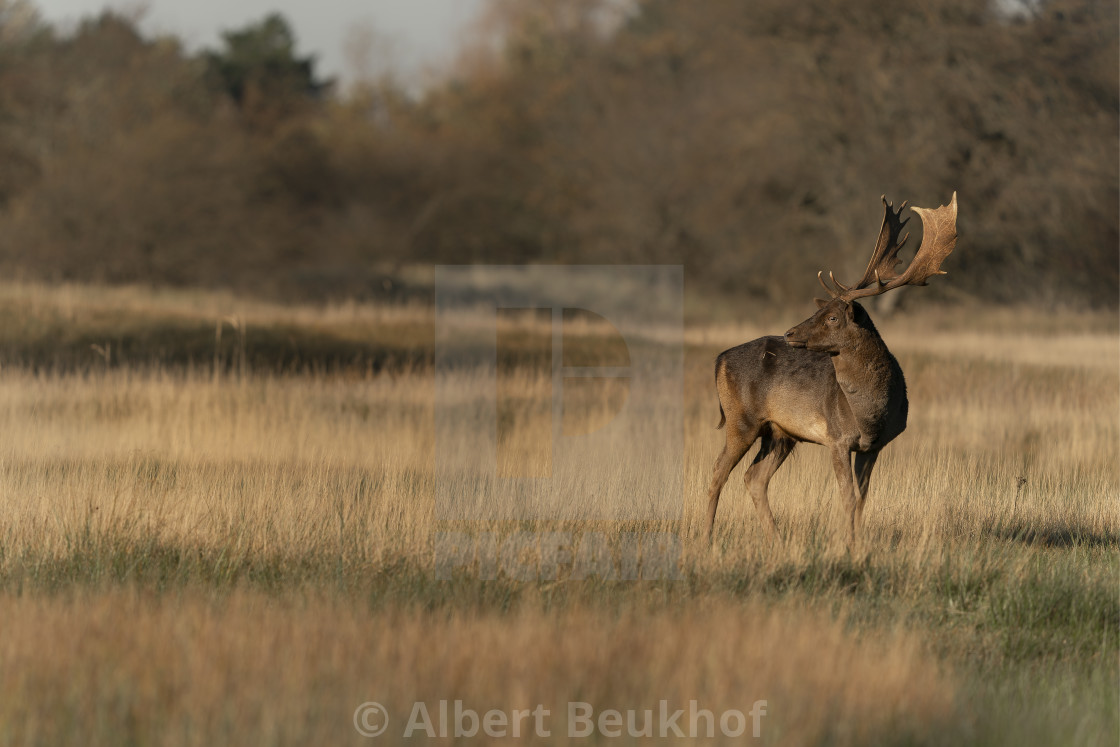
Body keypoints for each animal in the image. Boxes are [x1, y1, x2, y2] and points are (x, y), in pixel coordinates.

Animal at [707, 190, 954, 546]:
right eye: (820, 311)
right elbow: (848, 497)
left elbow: (862, 498)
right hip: (742, 420)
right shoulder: (837, 437)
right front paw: (847, 547)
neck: (872, 413)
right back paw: (705, 538)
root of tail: (719, 359)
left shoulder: (873, 446)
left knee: (754, 477)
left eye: (833, 317)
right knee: (717, 473)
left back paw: (777, 542)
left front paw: (857, 544)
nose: (790, 333)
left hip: (780, 433)